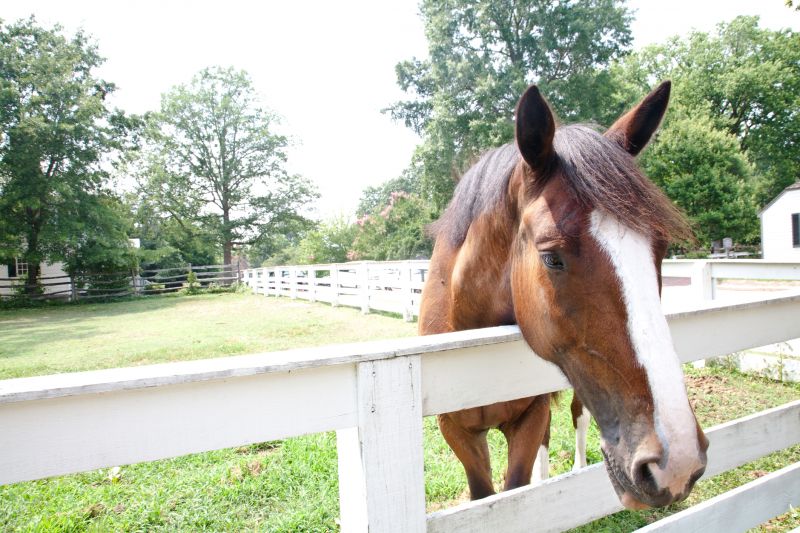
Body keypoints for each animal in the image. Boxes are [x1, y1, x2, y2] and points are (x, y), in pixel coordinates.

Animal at [418, 81, 709, 509]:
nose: (678, 460)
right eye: (552, 258)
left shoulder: (529, 417)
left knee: (577, 417)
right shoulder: (456, 431)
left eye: (659, 249)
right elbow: (484, 494)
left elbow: (517, 484)